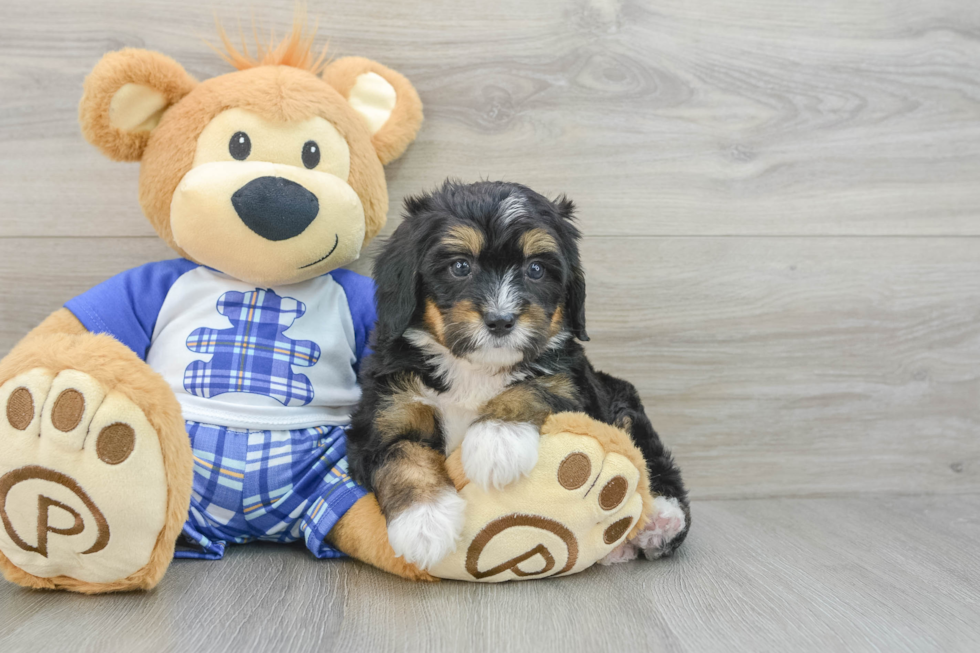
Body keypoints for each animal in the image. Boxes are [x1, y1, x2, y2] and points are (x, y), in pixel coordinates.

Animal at [348, 181, 692, 568]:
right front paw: (424, 523)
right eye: (460, 266)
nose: (501, 320)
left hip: (622, 398)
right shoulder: (383, 413)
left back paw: (661, 520)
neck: (474, 368)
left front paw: (498, 440)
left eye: (536, 269)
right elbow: (402, 455)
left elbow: (533, 386)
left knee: (647, 450)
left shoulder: (573, 383)